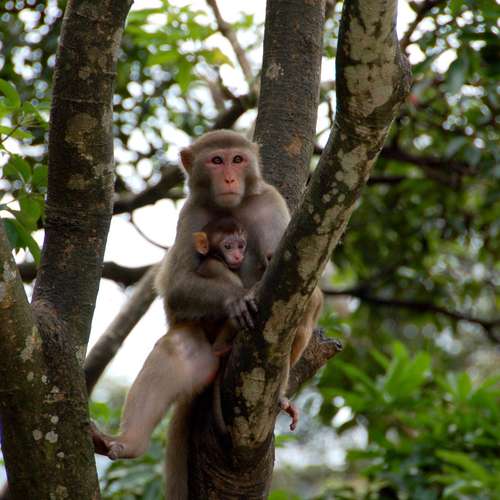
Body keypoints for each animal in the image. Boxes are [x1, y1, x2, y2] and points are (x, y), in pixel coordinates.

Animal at [91, 130, 323, 498]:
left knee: (305, 306)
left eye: (237, 160)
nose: (229, 178)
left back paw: (280, 394)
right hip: (204, 355)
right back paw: (128, 442)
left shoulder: (271, 203)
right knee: (177, 349)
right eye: (216, 161)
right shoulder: (191, 213)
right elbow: (176, 286)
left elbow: (302, 277)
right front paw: (235, 299)